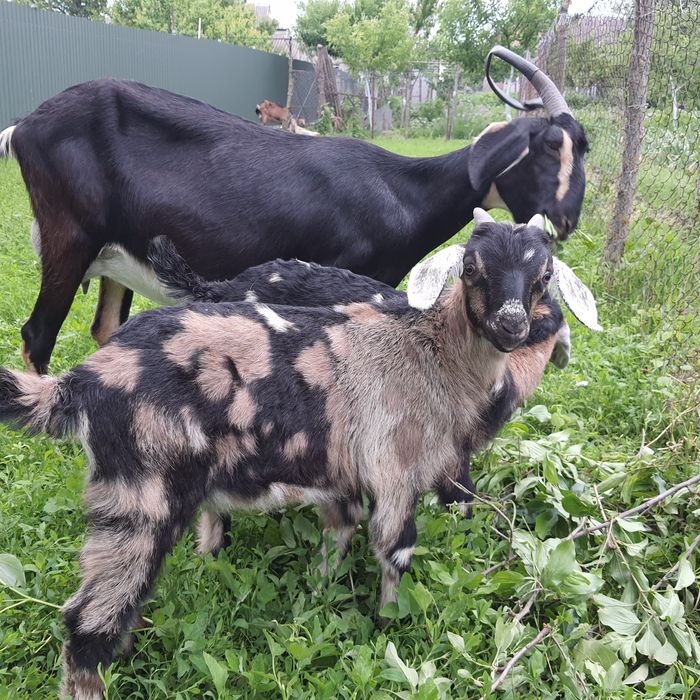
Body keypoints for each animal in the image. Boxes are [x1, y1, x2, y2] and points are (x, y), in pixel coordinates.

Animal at [0, 48, 588, 374]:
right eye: (546, 146)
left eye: (582, 147)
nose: (566, 221)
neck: (402, 192)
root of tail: (23, 127)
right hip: (69, 237)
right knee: (36, 336)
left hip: (117, 256)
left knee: (105, 329)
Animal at [0, 213, 599, 698]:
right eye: (471, 268)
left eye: (545, 276)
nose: (512, 325)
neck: (430, 353)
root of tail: (79, 382)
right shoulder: (397, 467)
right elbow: (396, 549)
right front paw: (389, 625)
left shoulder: (345, 468)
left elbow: (344, 527)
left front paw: (321, 589)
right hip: (141, 496)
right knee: (88, 623)